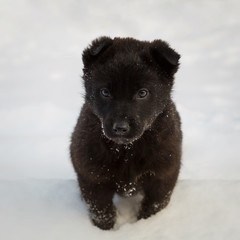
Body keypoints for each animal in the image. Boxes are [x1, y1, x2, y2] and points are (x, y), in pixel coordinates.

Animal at [70, 36, 182, 230]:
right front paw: (105, 231)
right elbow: (102, 212)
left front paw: (147, 225)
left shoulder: (163, 175)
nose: (120, 127)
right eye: (105, 92)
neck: (127, 150)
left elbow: (153, 207)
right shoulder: (92, 178)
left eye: (142, 93)